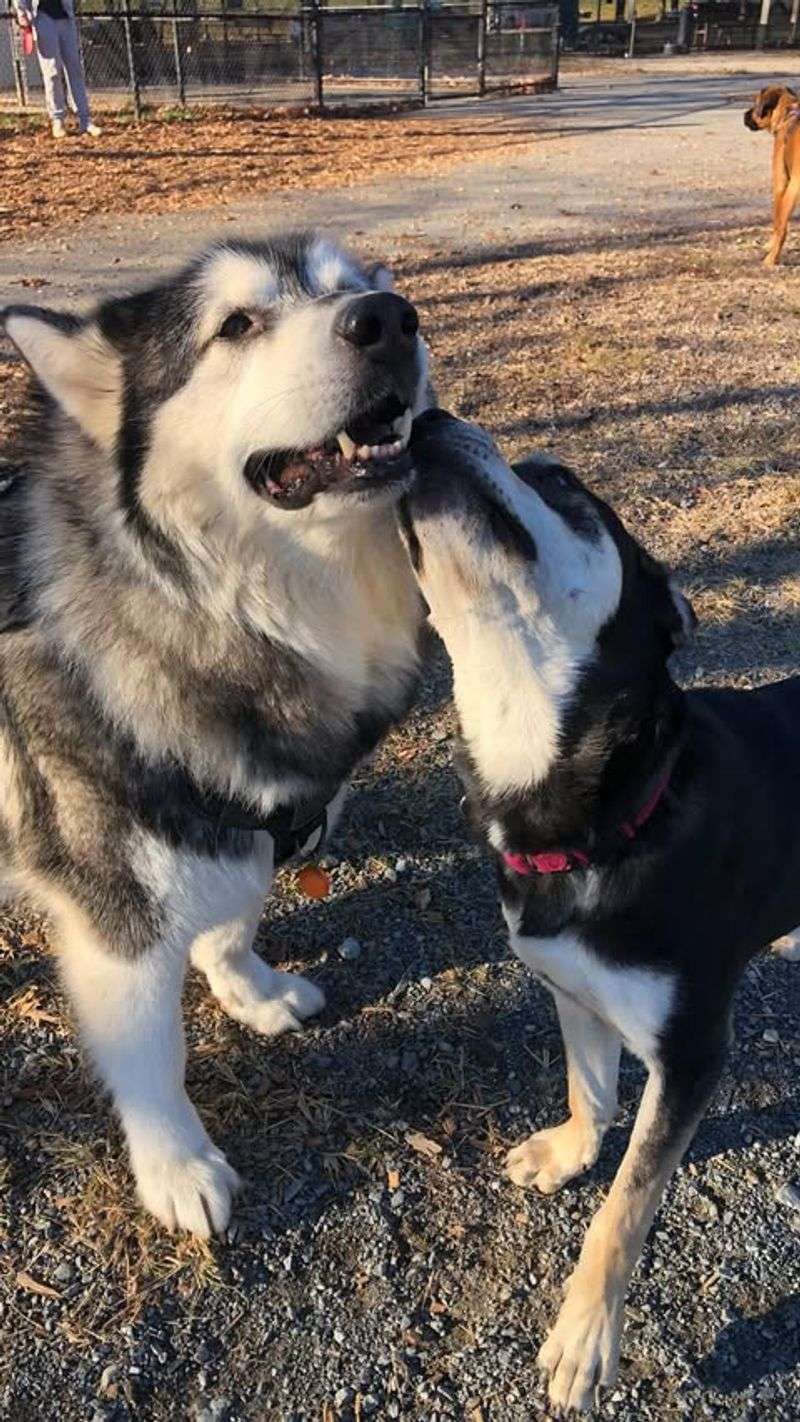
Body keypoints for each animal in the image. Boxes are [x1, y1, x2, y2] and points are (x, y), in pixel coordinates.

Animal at [0, 230, 431, 1234]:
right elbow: (151, 1055)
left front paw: (250, 989)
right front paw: (177, 1163)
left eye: (351, 287)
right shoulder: (115, 913)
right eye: (236, 325)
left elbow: (234, 916)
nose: (389, 318)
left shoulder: (247, 822)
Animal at [400, 409, 800, 1410]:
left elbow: (624, 1209)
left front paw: (585, 1335)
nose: (425, 417)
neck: (607, 811)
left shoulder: (692, 1054)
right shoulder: (570, 986)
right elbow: (590, 1087)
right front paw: (570, 1153)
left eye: (562, 482)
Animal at [744, 83, 800, 268]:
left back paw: (771, 259)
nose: (744, 115)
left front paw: (770, 244)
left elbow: (777, 223)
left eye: (756, 103)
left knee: (783, 228)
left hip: (793, 189)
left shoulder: (780, 184)